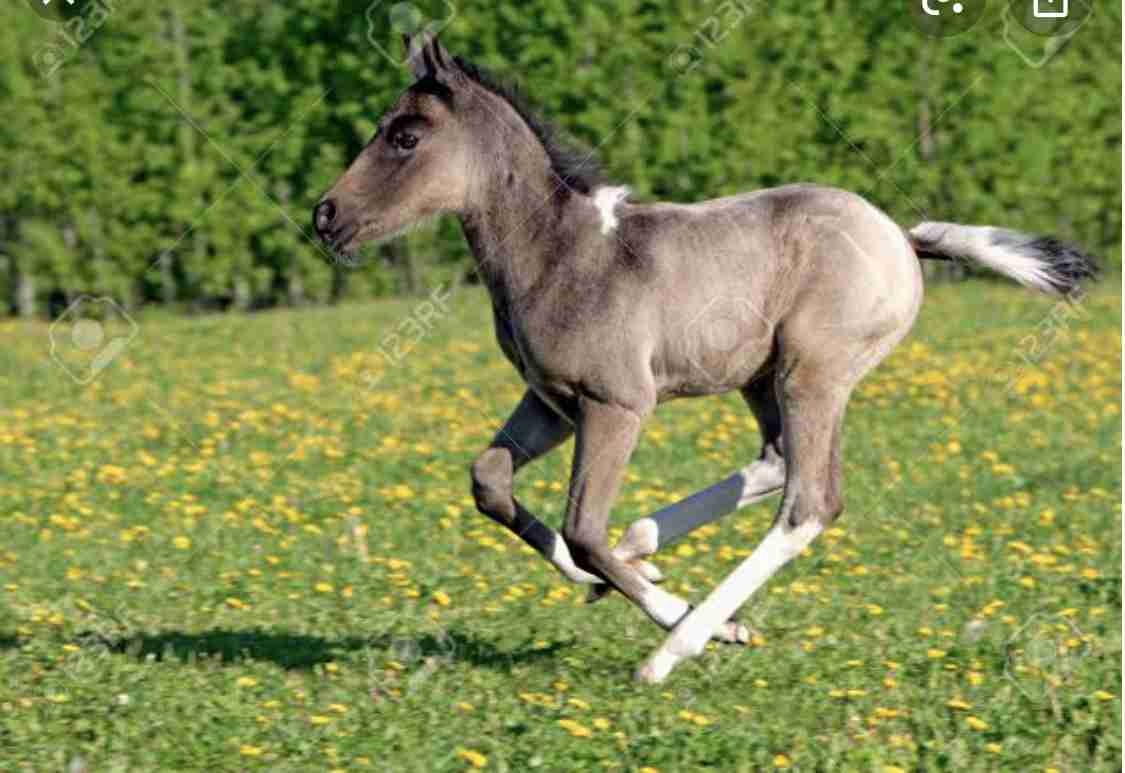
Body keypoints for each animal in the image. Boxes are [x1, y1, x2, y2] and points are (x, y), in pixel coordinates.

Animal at [313, 32, 1097, 683]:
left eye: (405, 136)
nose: (325, 216)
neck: (559, 252)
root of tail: (904, 239)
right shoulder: (551, 401)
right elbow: (491, 483)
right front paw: (614, 581)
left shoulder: (617, 403)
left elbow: (582, 528)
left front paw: (684, 618)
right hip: (761, 378)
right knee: (773, 463)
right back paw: (647, 549)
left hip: (812, 373)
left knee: (807, 502)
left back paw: (676, 645)